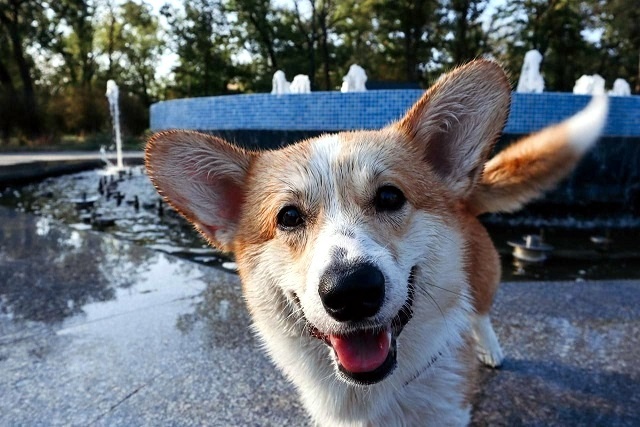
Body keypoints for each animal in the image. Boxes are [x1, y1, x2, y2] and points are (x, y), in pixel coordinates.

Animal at [146, 61, 608, 427]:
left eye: (389, 196)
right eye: (288, 217)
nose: (351, 291)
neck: (369, 393)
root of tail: (467, 192)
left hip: (482, 278)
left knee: (481, 313)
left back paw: (491, 349)